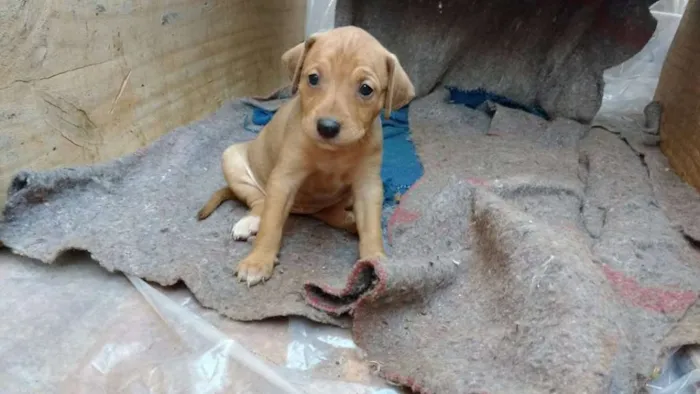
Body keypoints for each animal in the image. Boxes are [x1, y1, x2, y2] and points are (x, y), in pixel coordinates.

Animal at [197, 26, 416, 286]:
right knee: (260, 202)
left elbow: (371, 227)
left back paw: (352, 222)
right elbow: (271, 223)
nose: (327, 127)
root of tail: (303, 210)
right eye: (313, 78)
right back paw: (250, 222)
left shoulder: (368, 185)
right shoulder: (284, 179)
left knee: (333, 214)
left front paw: (375, 260)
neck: (332, 153)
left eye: (366, 89)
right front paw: (258, 262)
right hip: (232, 159)